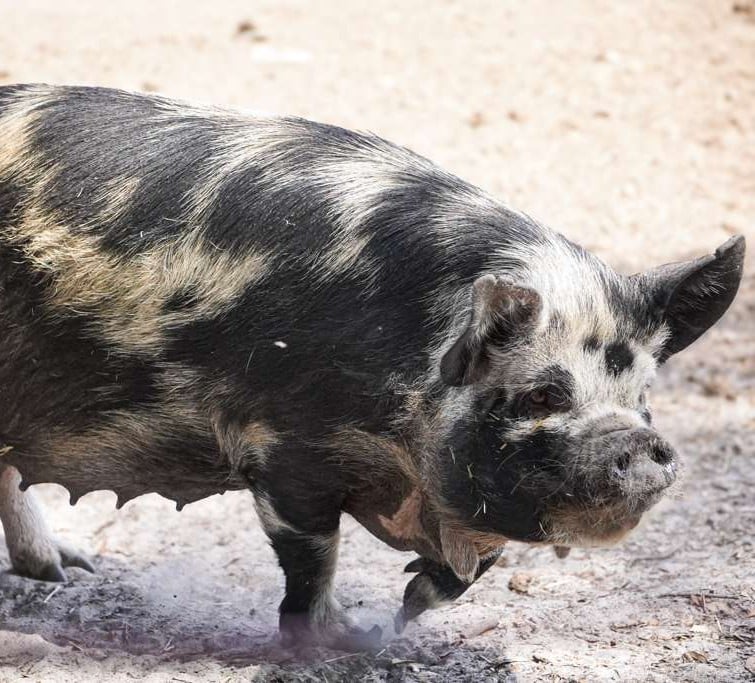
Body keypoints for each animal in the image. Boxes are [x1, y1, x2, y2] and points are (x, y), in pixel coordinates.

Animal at [0, 84, 745, 651]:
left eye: (643, 395)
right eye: (540, 395)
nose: (639, 442)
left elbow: (469, 570)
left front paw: (404, 612)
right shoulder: (280, 441)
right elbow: (313, 554)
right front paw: (345, 640)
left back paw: (66, 571)